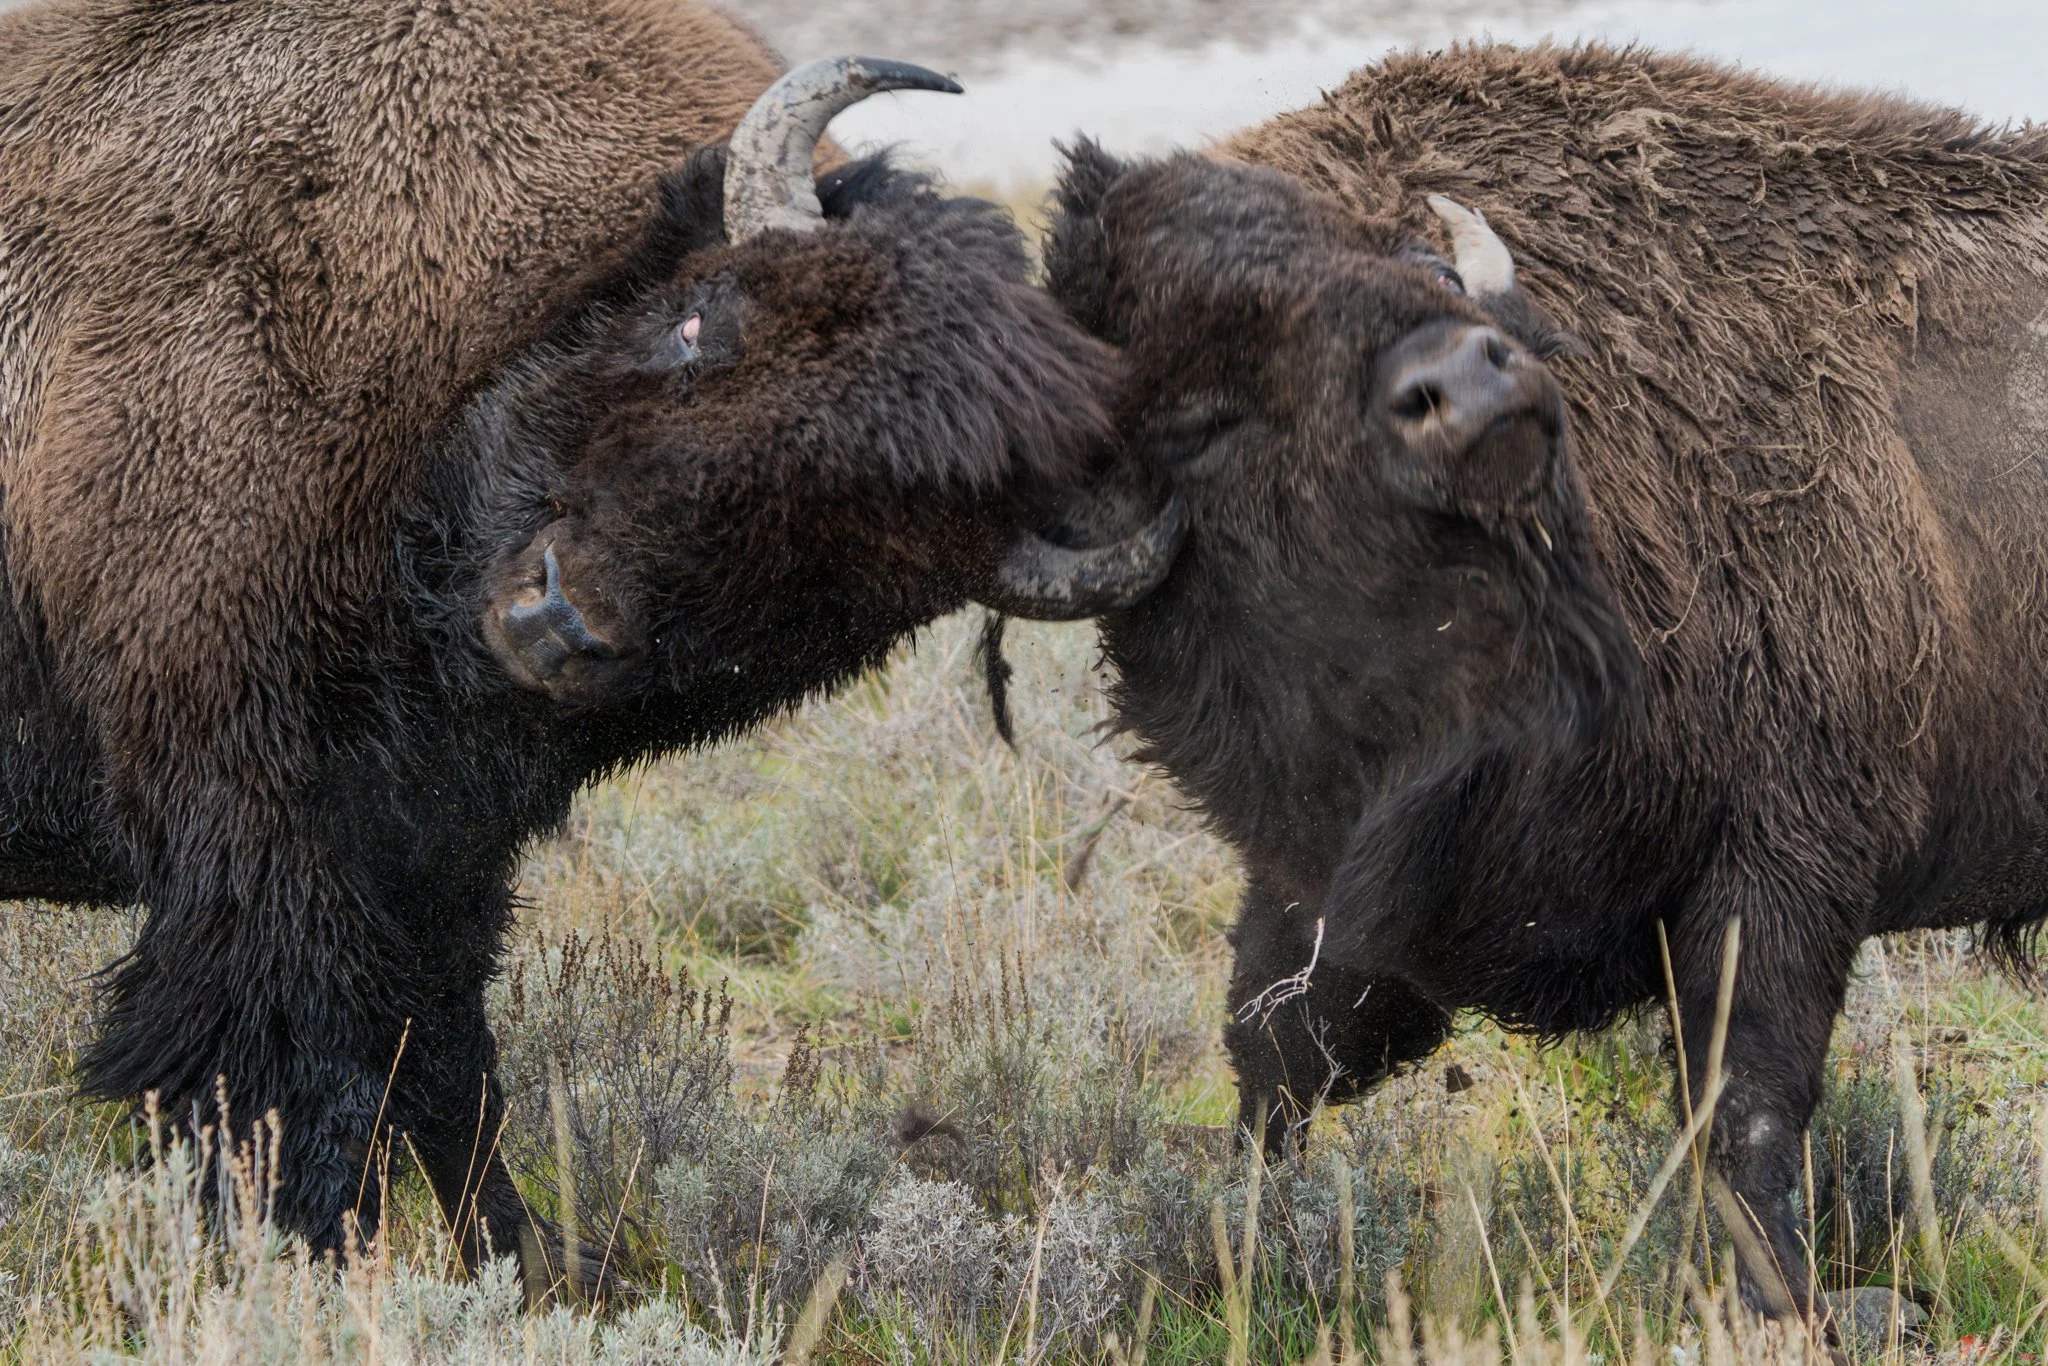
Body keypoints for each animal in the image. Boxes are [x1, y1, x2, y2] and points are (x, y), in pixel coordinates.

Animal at [0, 0, 1170, 1284]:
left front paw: (533, 1260)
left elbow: (445, 1065)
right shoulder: (264, 831)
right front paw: (305, 1267)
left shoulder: (440, 852)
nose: (559, 617)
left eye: (846, 569)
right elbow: (304, 1082)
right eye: (698, 322)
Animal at [1038, 43, 2048, 1318]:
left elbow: (1744, 1115)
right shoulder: (1332, 890)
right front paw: (1242, 1243)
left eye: (1414, 268)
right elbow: (1278, 1050)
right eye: (1205, 412)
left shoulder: (1781, 868)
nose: (1474, 389)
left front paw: (1781, 1306)